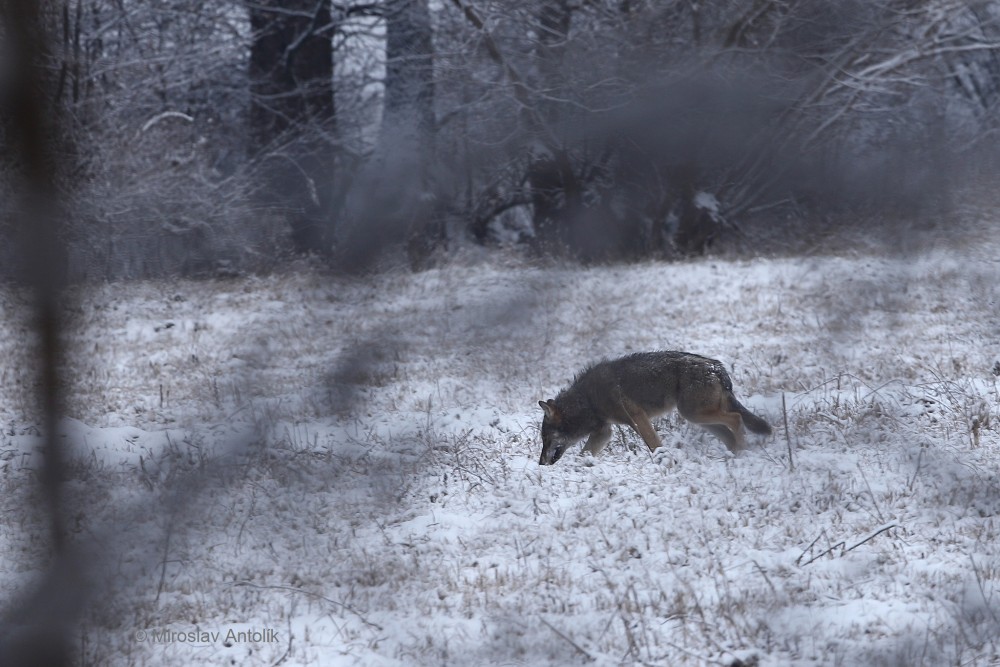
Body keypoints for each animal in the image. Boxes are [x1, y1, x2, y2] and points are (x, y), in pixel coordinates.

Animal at [540, 352, 772, 468]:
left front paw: (666, 463)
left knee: (737, 419)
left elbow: (654, 445)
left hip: (693, 414)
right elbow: (584, 454)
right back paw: (734, 456)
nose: (540, 463)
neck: (587, 400)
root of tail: (717, 368)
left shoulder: (636, 417)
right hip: (698, 419)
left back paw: (743, 452)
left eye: (546, 439)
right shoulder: (605, 432)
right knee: (730, 432)